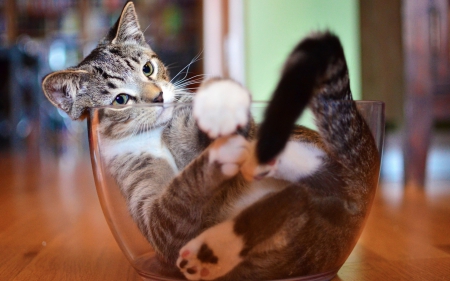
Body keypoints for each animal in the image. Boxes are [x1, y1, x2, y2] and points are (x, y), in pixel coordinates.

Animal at [41, 1, 380, 278]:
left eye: (148, 68)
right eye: (120, 99)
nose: (159, 97)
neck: (156, 135)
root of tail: (359, 182)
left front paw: (218, 106)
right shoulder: (153, 216)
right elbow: (173, 203)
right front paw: (219, 155)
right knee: (296, 199)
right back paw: (211, 252)